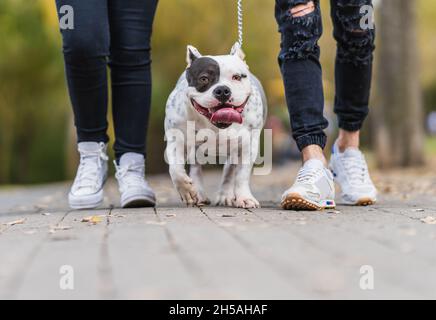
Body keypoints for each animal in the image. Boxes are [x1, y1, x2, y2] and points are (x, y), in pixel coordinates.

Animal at [164, 43, 266, 209]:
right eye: (204, 78)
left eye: (237, 77)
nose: (223, 90)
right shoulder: (177, 140)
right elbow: (175, 169)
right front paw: (187, 190)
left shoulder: (248, 145)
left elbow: (242, 174)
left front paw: (244, 198)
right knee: (196, 168)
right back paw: (199, 194)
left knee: (229, 169)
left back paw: (225, 195)